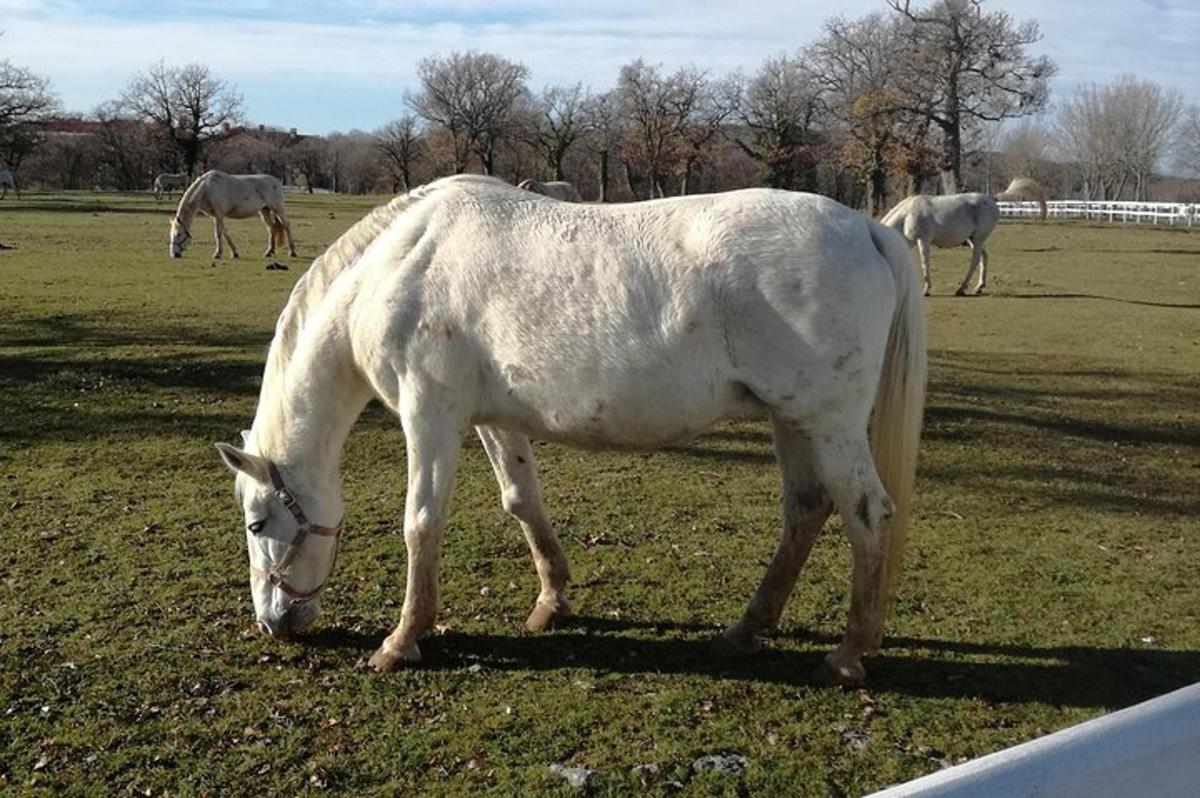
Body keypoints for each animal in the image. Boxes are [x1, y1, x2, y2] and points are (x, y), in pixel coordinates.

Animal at [169, 169, 297, 260]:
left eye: (178, 234)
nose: (174, 254)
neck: (207, 188)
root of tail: (277, 181)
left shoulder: (219, 214)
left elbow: (218, 234)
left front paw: (217, 254)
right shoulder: (216, 216)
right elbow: (225, 233)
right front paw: (234, 253)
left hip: (278, 208)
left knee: (286, 225)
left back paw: (292, 252)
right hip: (264, 210)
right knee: (271, 228)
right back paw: (269, 252)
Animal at [216, 174, 926, 686]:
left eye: (256, 523)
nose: (273, 622)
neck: (400, 266)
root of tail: (866, 228)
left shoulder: (430, 415)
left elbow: (421, 521)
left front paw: (401, 639)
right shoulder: (492, 421)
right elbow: (522, 502)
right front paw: (551, 601)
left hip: (828, 421)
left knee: (867, 513)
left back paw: (847, 655)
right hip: (792, 418)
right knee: (806, 510)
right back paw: (746, 630)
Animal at [878, 177, 1046, 295]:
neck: (908, 214)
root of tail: (991, 199)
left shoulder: (923, 241)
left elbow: (925, 263)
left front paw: (926, 289)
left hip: (977, 239)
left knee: (975, 260)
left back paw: (962, 288)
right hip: (973, 239)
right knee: (984, 257)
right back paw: (978, 287)